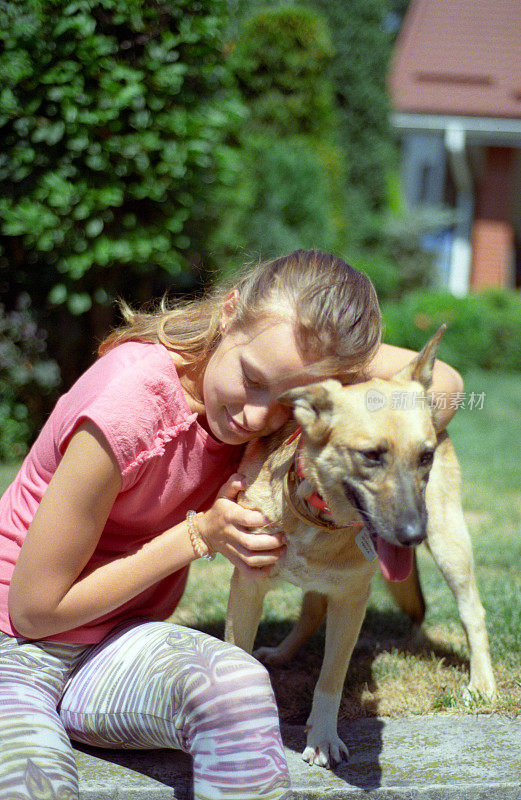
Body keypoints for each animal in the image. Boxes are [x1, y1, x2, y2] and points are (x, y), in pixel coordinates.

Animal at [224, 326, 496, 768]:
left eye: (425, 457)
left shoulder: (352, 600)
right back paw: (283, 652)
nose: (412, 535)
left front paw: (322, 738)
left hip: (450, 546)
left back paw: (482, 683)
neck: (313, 515)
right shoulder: (248, 587)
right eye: (371, 456)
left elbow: (331, 678)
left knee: (473, 613)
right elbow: (237, 655)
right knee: (311, 611)